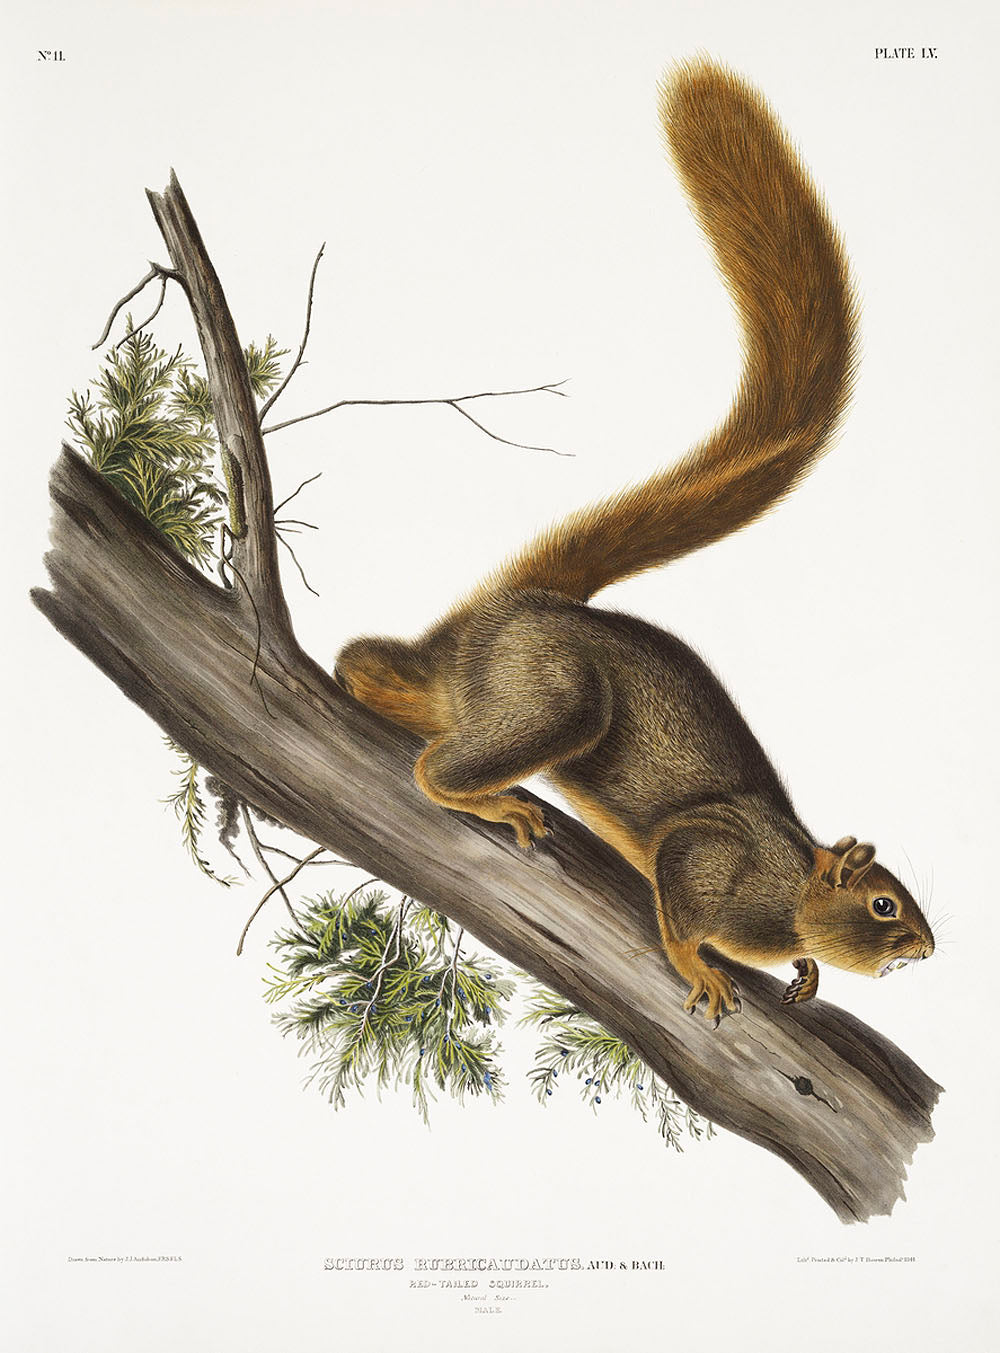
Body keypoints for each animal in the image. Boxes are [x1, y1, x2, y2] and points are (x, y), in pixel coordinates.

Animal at [334, 58, 935, 1023]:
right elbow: (683, 899)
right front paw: (703, 964)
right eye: (884, 904)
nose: (929, 944)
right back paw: (491, 799)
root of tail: (516, 607)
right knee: (433, 759)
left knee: (382, 671)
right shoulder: (705, 855)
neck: (791, 880)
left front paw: (804, 970)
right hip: (554, 697)